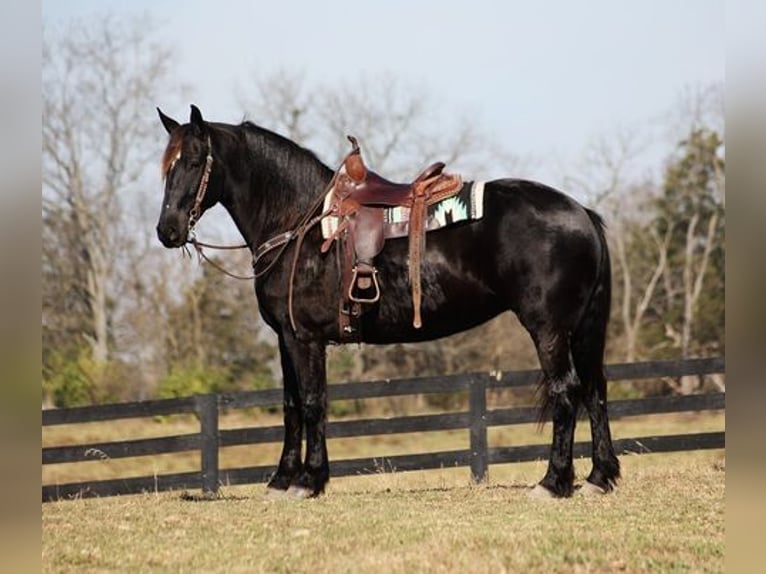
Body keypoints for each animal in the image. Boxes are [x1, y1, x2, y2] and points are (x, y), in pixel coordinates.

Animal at [158, 106, 624, 502]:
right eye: (168, 166)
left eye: (195, 161)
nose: (168, 231)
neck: (298, 225)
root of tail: (580, 212)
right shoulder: (285, 338)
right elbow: (291, 406)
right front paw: (281, 481)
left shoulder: (304, 338)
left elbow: (311, 403)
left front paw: (308, 481)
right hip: (581, 329)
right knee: (594, 389)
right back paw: (598, 478)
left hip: (549, 329)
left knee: (566, 391)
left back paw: (553, 482)